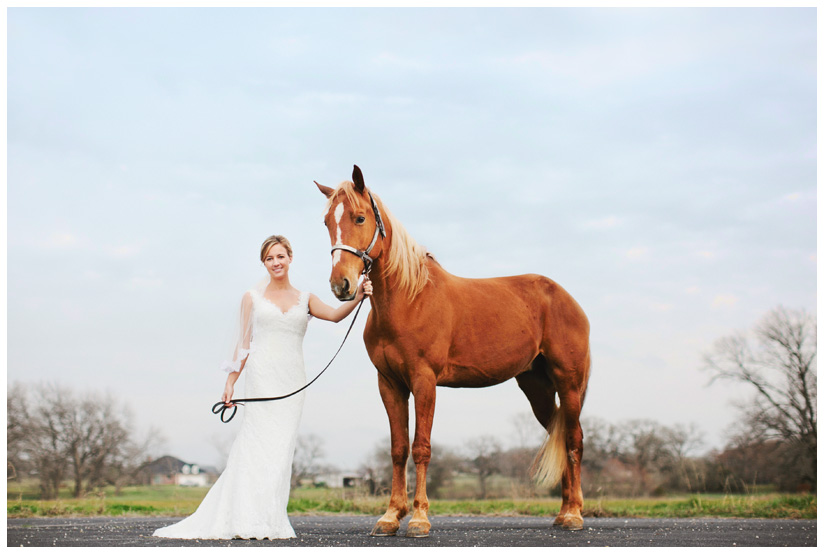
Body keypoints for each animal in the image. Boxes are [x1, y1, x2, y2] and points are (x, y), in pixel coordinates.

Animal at [312, 166, 588, 540]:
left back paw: (574, 514)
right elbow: (398, 449)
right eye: (327, 221)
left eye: (359, 217)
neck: (408, 299)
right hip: (537, 389)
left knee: (573, 440)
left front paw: (418, 518)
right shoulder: (390, 384)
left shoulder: (424, 380)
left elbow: (421, 448)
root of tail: (566, 298)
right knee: (557, 435)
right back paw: (562, 513)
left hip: (569, 383)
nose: (341, 285)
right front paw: (390, 516)